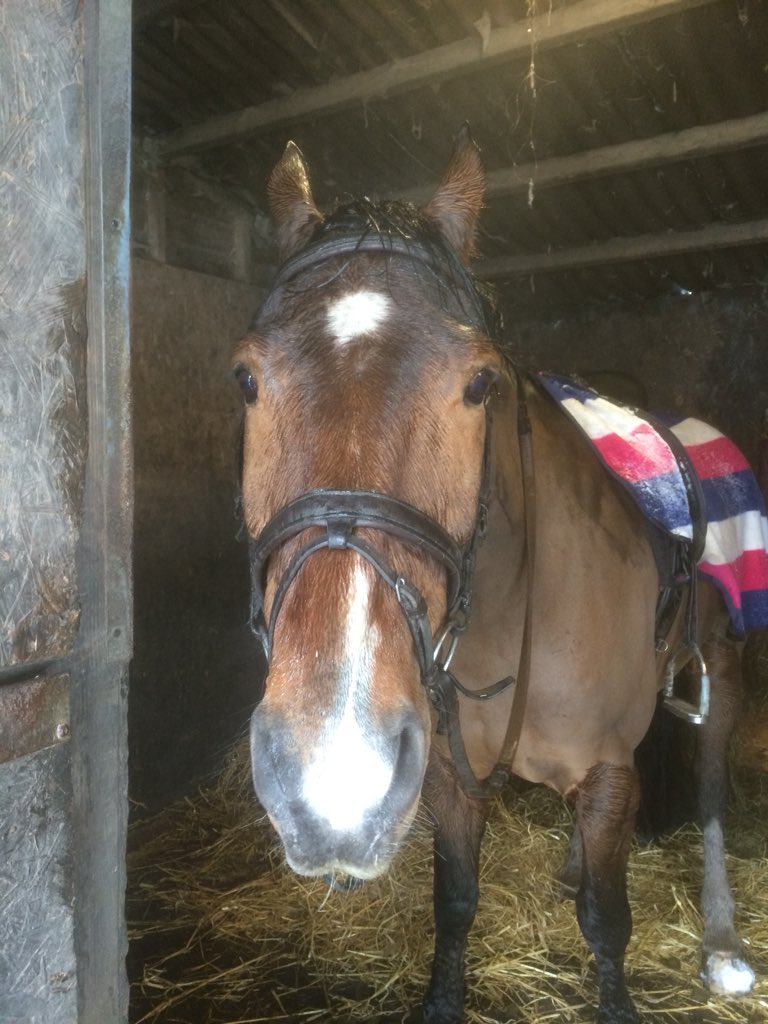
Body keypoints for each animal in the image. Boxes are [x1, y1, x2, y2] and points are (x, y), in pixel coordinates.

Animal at [232, 129, 759, 1023]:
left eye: (479, 383)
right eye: (245, 378)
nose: (334, 774)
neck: (517, 607)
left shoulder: (607, 763)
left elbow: (608, 922)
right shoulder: (448, 774)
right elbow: (456, 901)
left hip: (719, 667)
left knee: (715, 787)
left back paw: (721, 941)